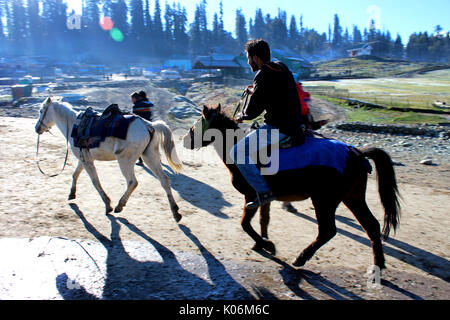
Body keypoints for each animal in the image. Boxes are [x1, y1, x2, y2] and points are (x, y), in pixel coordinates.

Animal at [35, 97, 183, 221]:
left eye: (41, 110)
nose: (37, 128)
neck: (74, 124)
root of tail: (148, 125)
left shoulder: (87, 162)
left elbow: (95, 182)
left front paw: (108, 205)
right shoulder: (83, 159)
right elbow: (75, 174)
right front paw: (72, 194)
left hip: (125, 160)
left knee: (132, 182)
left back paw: (119, 205)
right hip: (150, 157)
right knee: (164, 180)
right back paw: (175, 212)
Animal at [183, 105, 400, 270]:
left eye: (197, 125)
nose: (185, 141)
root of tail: (356, 152)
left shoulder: (251, 196)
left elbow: (245, 223)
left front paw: (267, 244)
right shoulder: (264, 197)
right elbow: (263, 220)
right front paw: (261, 242)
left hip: (324, 201)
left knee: (327, 231)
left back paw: (301, 258)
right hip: (353, 197)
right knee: (372, 226)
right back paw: (378, 265)